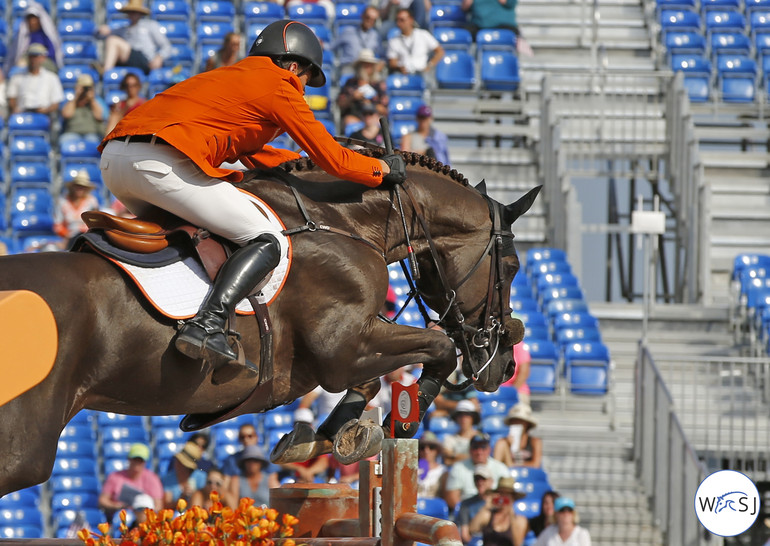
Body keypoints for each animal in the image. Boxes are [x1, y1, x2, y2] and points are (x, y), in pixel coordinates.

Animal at [0, 148, 540, 492]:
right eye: (512, 267)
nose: (502, 367)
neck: (343, 223)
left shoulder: (351, 346)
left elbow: (379, 376)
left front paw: (326, 435)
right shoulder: (343, 347)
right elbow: (436, 349)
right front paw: (399, 419)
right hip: (24, 448)